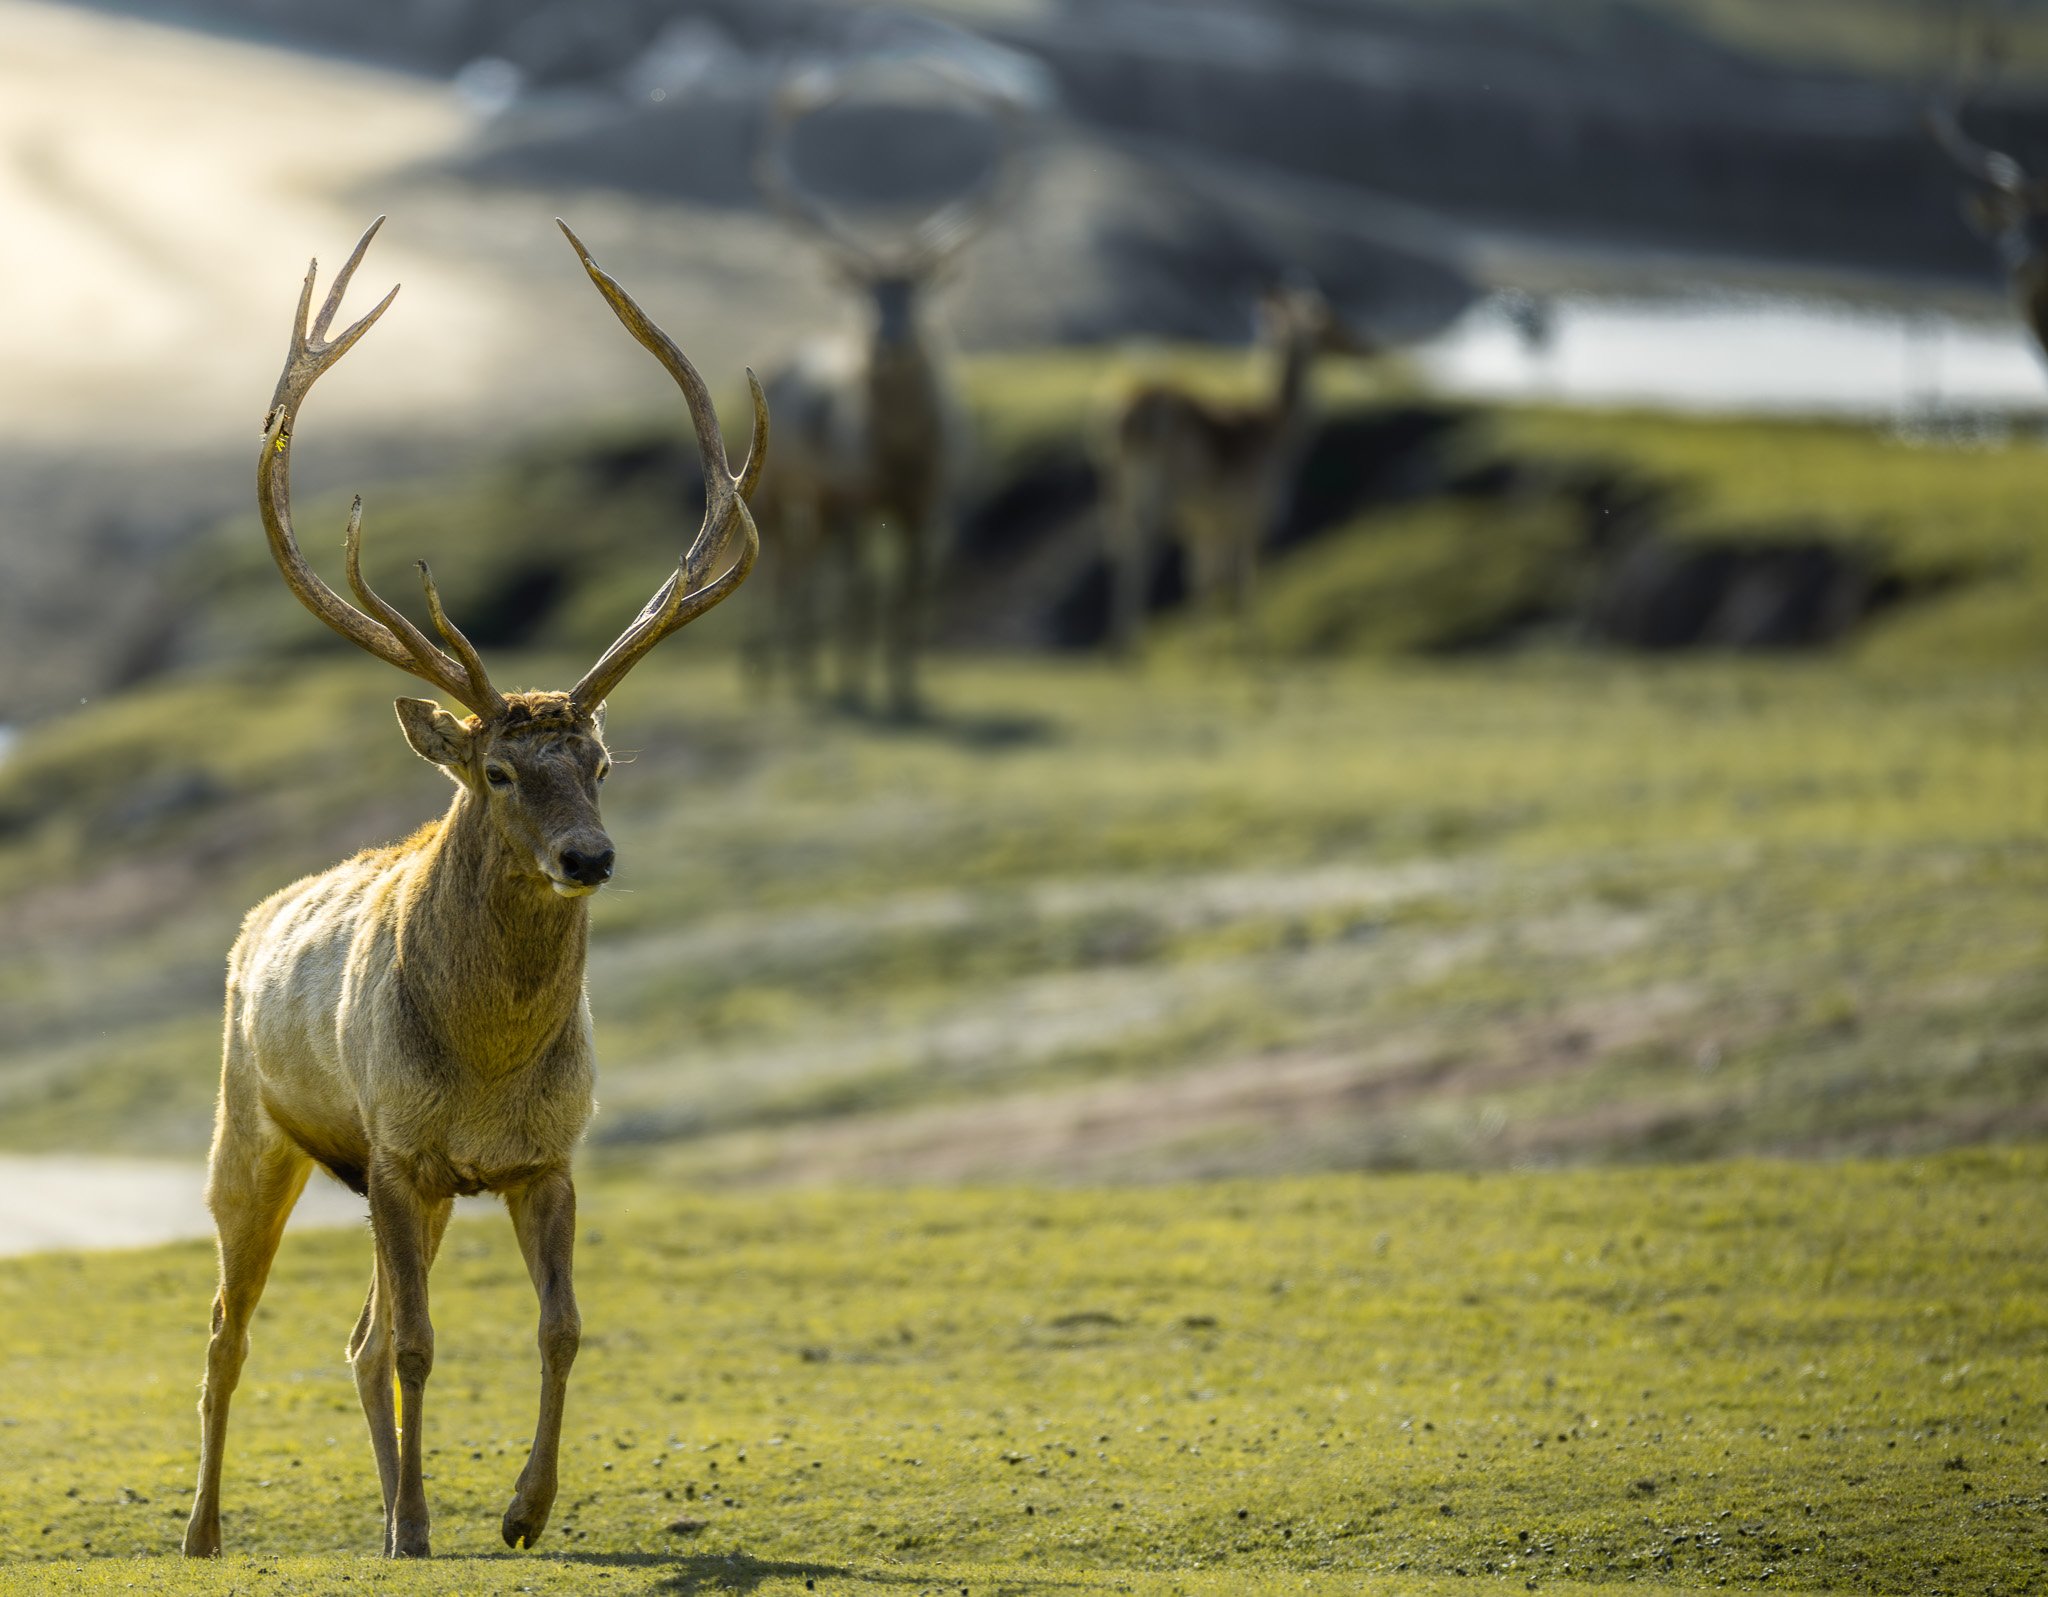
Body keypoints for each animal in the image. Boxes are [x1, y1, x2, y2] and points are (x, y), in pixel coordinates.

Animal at [181, 216, 765, 1561]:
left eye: (599, 761)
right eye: (498, 770)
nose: (589, 857)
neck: (491, 1065)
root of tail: (249, 926)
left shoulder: (544, 1157)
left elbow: (558, 1326)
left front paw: (517, 1510)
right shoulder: (398, 1149)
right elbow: (415, 1343)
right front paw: (413, 1526)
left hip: (413, 1185)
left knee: (345, 1336)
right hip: (251, 1131)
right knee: (232, 1332)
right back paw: (206, 1529)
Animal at [749, 64, 1021, 718]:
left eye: (917, 292)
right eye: (867, 293)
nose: (888, 341)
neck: (899, 452)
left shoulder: (930, 495)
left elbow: (911, 587)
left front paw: (905, 687)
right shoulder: (854, 488)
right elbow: (861, 587)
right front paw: (856, 686)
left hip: (818, 499)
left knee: (805, 561)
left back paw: (803, 668)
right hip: (779, 485)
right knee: (780, 565)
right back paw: (767, 673)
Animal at [1102, 280, 1368, 654]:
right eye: (1327, 323)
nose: (1365, 347)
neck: (1281, 435)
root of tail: (1125, 417)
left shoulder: (1211, 522)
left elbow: (1204, 576)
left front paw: (1205, 644)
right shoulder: (1250, 513)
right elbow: (1242, 577)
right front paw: (1251, 644)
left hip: (1120, 487)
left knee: (1120, 546)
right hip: (1161, 490)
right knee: (1140, 549)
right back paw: (1129, 642)